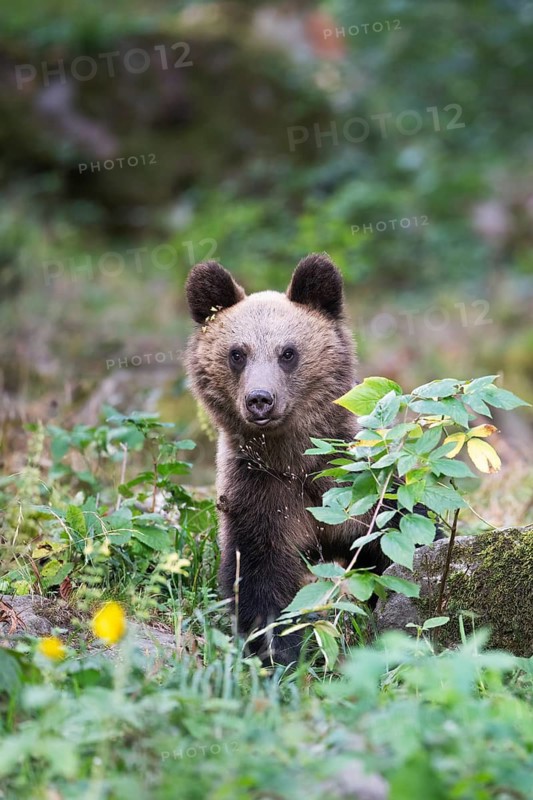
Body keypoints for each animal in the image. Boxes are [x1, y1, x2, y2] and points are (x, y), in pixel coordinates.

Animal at [185, 253, 390, 665]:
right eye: (237, 353)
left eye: (288, 352)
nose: (260, 399)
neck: (293, 459)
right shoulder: (260, 492)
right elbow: (260, 577)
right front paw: (278, 653)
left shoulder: (355, 486)